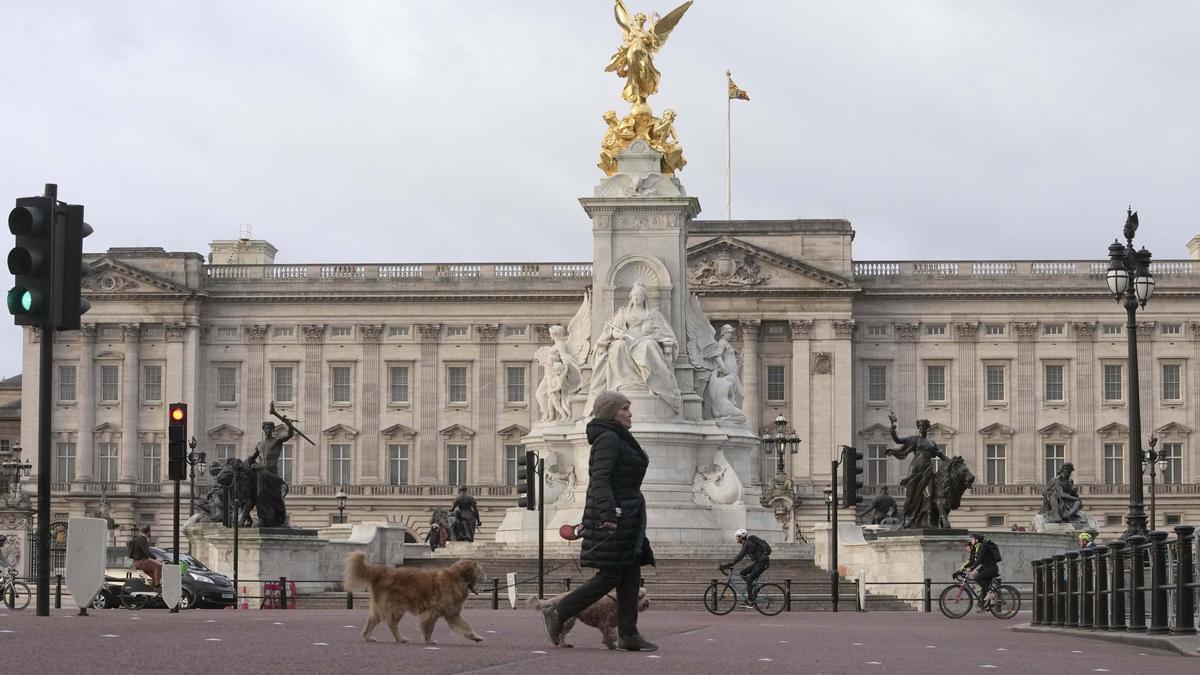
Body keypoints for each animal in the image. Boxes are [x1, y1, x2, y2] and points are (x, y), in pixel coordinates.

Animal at [343, 550, 482, 643]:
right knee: (392, 625)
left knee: (372, 622)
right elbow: (428, 627)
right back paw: (400, 638)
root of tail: (382, 572)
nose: (484, 574)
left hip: (381, 609)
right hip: (396, 608)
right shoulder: (433, 612)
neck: (459, 577)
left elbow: (466, 626)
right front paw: (428, 640)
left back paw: (368, 637)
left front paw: (475, 636)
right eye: (479, 570)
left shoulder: (452, 614)